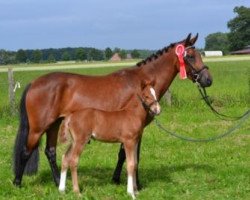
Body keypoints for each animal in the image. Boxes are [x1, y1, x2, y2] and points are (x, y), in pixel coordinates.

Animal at [13, 33, 213, 188]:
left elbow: (124, 154)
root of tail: (34, 83)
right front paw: (135, 184)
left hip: (54, 124)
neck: (141, 84)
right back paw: (17, 183)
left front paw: (116, 179)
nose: (208, 79)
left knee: (50, 151)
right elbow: (132, 156)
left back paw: (58, 183)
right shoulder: (135, 129)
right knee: (25, 152)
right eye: (190, 56)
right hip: (38, 128)